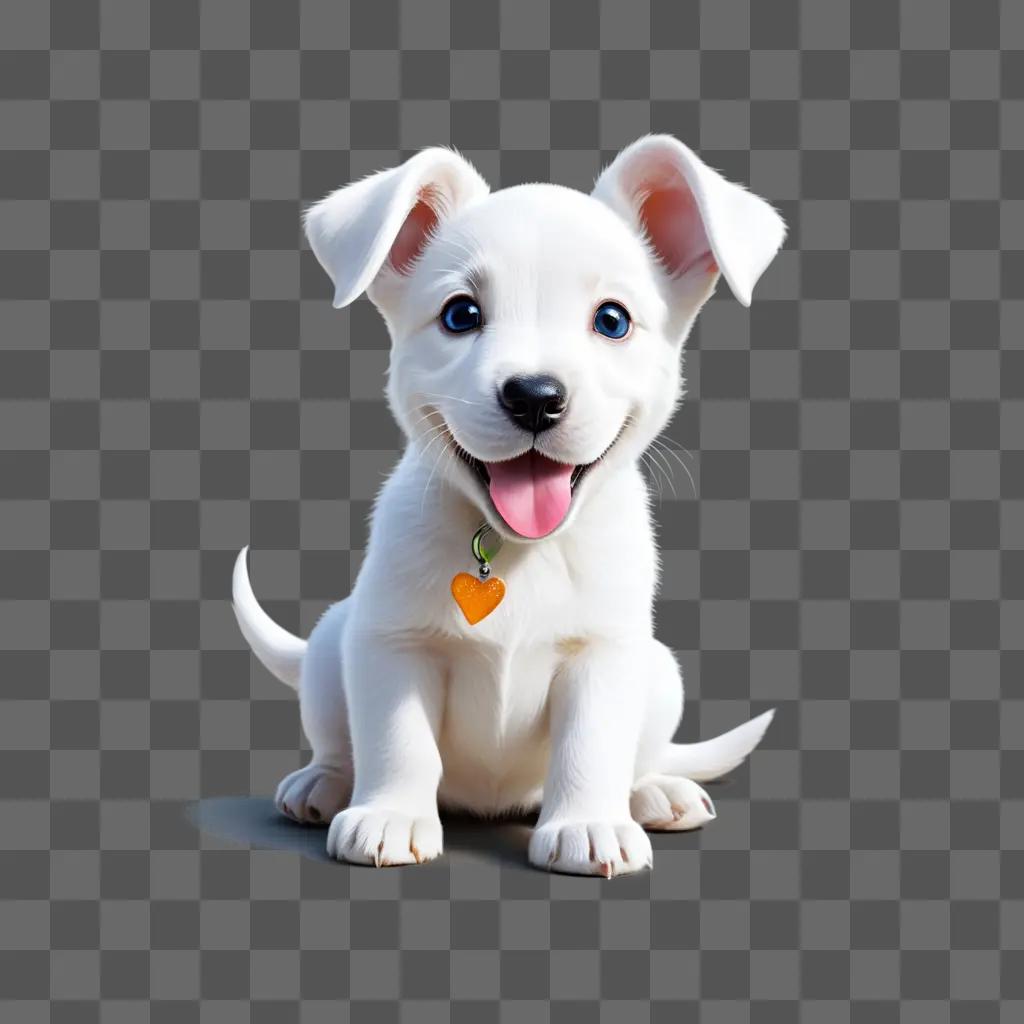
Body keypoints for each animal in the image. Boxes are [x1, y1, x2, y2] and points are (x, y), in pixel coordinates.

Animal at [235, 132, 786, 876]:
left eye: (612, 320)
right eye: (460, 314)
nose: (534, 396)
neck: (520, 551)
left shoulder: (605, 654)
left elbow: (591, 745)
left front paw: (589, 825)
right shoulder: (391, 644)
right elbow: (397, 738)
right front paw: (390, 815)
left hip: (660, 672)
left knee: (641, 757)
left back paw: (653, 792)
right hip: (330, 644)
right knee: (337, 740)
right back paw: (323, 783)